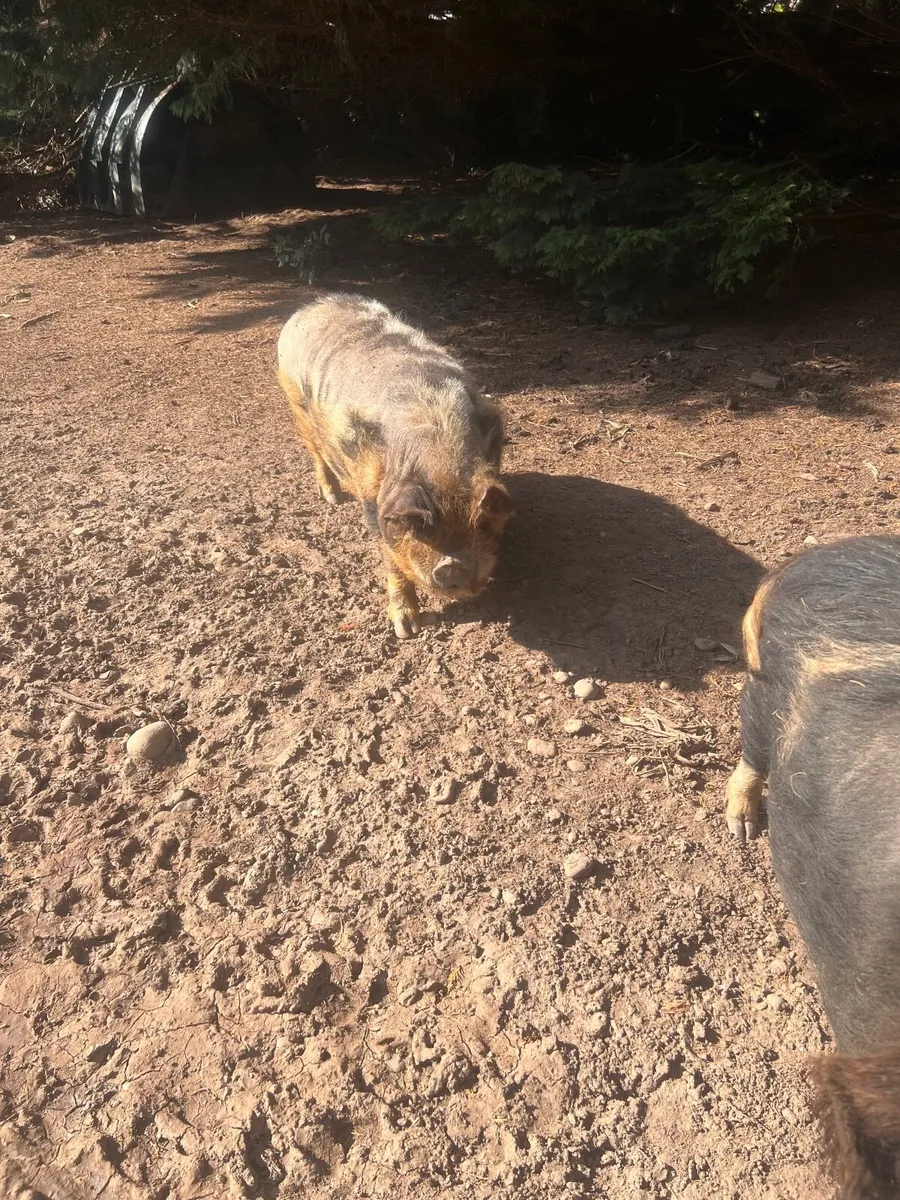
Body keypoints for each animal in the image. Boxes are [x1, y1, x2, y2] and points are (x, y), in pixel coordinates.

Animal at [276, 294, 513, 638]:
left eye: (480, 523)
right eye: (414, 525)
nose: (451, 565)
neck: (436, 453)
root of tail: (310, 308)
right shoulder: (374, 503)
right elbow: (390, 560)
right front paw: (407, 631)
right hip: (295, 403)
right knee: (316, 453)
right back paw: (332, 497)